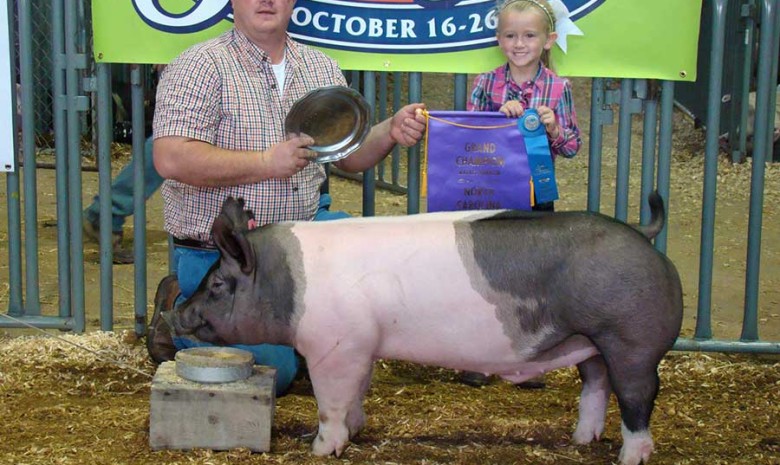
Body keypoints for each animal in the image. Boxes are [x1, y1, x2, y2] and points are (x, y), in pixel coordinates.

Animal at [172, 192, 684, 464]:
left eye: (216, 284)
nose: (176, 312)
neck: (287, 282)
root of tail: (644, 236)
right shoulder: (362, 346)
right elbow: (356, 394)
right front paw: (356, 432)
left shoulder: (333, 345)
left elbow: (330, 402)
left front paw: (321, 448)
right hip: (590, 342)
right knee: (595, 384)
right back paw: (582, 439)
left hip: (630, 340)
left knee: (637, 396)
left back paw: (629, 456)